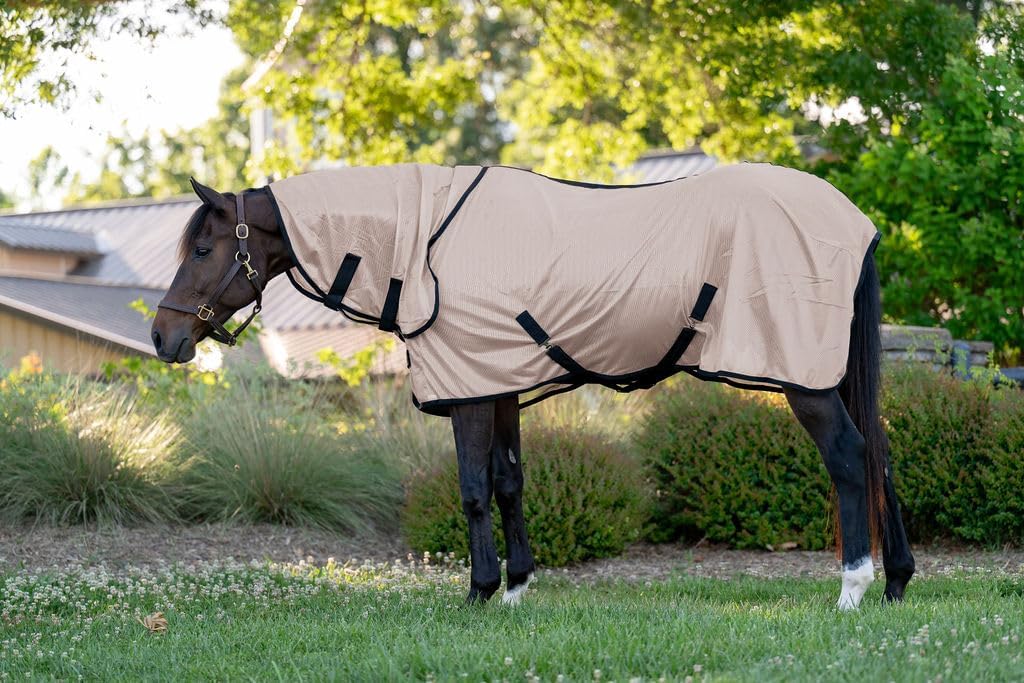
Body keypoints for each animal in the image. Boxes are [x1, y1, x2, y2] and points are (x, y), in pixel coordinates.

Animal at [151, 166, 916, 610]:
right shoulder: (499, 381)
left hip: (803, 379)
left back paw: (853, 587)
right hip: (834, 374)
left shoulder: (468, 388)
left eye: (203, 248)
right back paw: (897, 581)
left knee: (850, 459)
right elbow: (509, 481)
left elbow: (471, 487)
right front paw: (517, 587)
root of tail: (856, 222)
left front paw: (479, 592)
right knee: (880, 454)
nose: (163, 337)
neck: (424, 243)